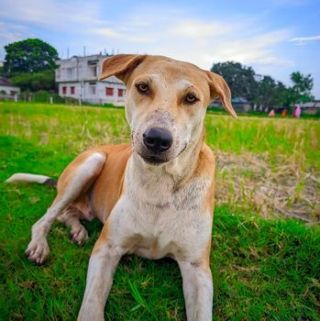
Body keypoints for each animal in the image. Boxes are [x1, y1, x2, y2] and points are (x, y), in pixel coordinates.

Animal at [4, 53, 235, 318]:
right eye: (143, 87)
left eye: (191, 98)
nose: (157, 139)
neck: (160, 183)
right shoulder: (107, 248)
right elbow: (92, 304)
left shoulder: (197, 267)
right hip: (91, 163)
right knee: (48, 217)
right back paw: (40, 245)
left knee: (67, 213)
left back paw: (77, 230)